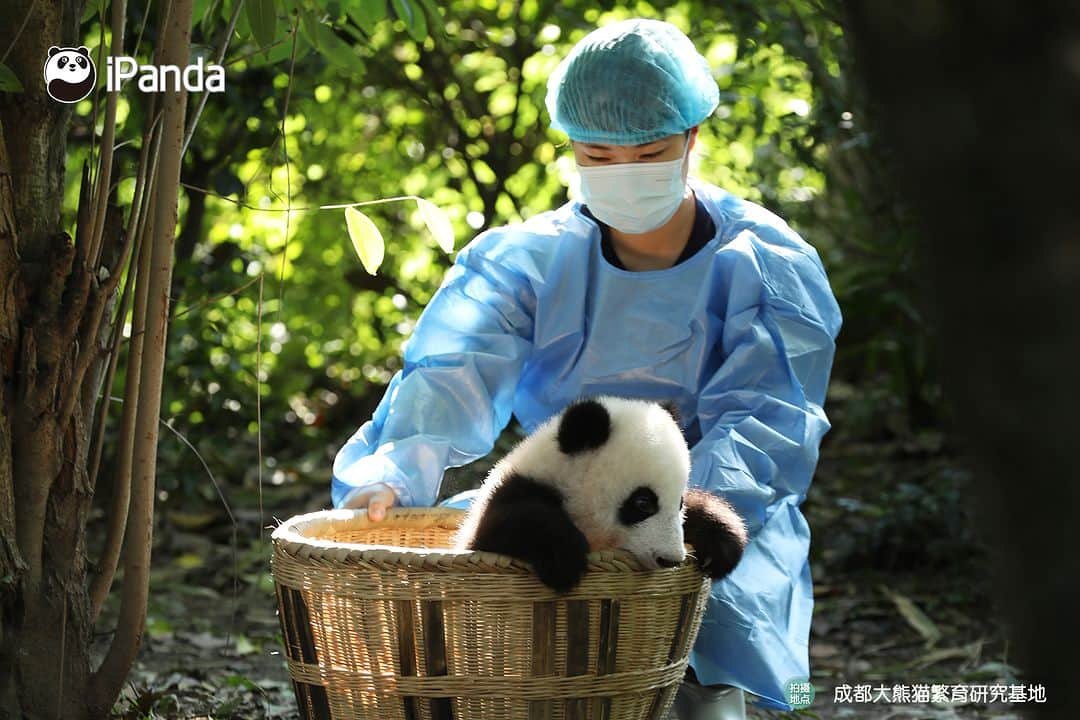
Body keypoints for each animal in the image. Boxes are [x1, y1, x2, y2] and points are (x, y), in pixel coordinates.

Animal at [451, 397, 747, 595]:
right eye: (643, 503)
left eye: (680, 503)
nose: (670, 560)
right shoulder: (510, 494)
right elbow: (510, 526)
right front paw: (563, 560)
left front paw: (721, 546)